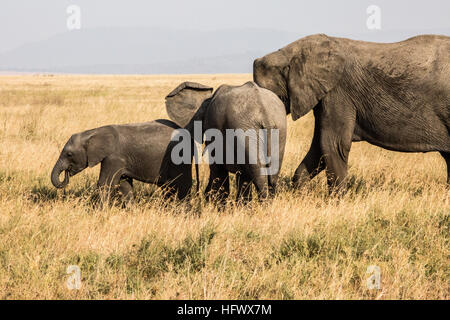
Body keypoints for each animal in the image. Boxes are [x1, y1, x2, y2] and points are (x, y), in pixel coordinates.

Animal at [50, 120, 196, 202]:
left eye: (69, 154)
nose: (67, 173)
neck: (92, 132)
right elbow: (124, 185)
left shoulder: (114, 157)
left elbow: (105, 184)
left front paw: (100, 212)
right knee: (168, 187)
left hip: (180, 158)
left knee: (181, 184)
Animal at [253, 33, 450, 191]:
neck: (289, 53)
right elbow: (319, 146)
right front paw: (299, 194)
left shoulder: (338, 93)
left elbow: (332, 143)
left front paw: (336, 201)